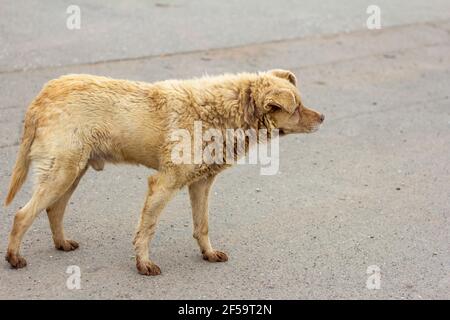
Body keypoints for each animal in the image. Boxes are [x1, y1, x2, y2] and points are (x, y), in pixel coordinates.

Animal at [2, 70, 324, 276]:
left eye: (302, 102)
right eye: (296, 108)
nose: (322, 117)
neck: (224, 110)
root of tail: (42, 97)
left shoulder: (201, 183)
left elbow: (202, 225)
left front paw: (208, 254)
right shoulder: (163, 183)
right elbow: (147, 228)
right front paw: (143, 264)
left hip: (72, 172)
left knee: (53, 210)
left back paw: (61, 244)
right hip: (62, 172)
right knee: (22, 215)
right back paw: (14, 258)